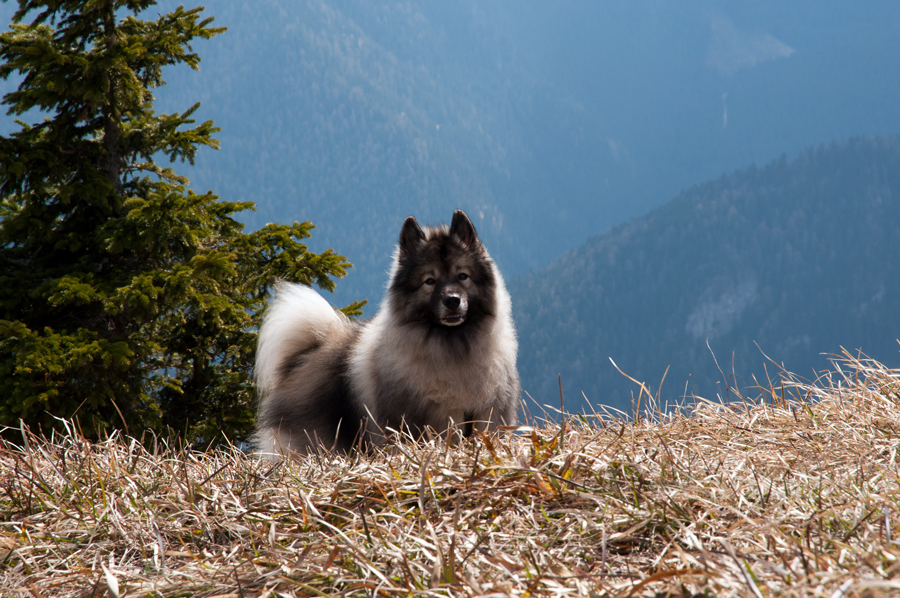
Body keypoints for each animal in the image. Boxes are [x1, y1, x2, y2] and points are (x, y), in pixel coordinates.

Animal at [253, 211, 520, 460]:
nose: (452, 300)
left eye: (462, 276)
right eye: (429, 281)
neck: (451, 349)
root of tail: (303, 355)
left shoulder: (486, 416)